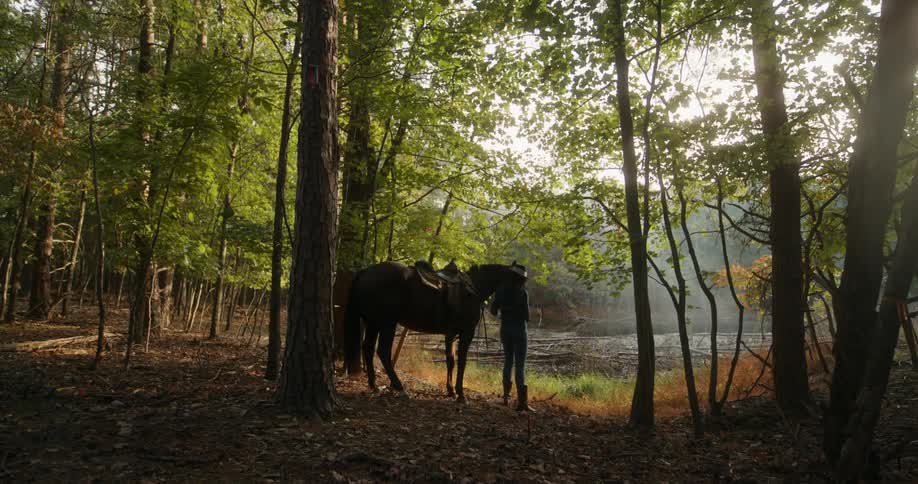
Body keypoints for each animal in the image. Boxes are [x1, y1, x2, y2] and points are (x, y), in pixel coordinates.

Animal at [342, 261, 521, 402]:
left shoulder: (452, 335)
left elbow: (450, 361)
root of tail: (365, 272)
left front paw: (451, 390)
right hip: (387, 324)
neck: (473, 289)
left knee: (368, 348)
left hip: (373, 323)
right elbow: (461, 362)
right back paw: (398, 386)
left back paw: (374, 385)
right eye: (516, 284)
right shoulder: (466, 333)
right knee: (383, 351)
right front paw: (460, 394)